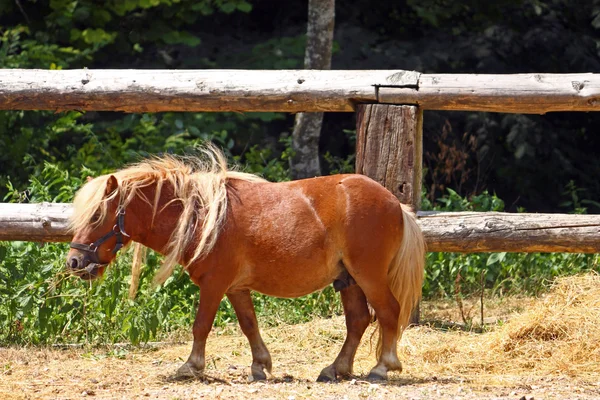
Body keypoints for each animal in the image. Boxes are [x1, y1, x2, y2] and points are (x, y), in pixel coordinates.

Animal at [65, 145, 424, 382]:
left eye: (97, 215)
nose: (74, 261)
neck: (201, 216)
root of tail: (396, 204)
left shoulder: (214, 284)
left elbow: (201, 325)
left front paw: (191, 366)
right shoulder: (236, 289)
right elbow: (249, 325)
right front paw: (260, 366)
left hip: (368, 276)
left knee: (388, 312)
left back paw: (382, 367)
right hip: (348, 280)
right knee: (358, 321)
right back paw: (336, 369)